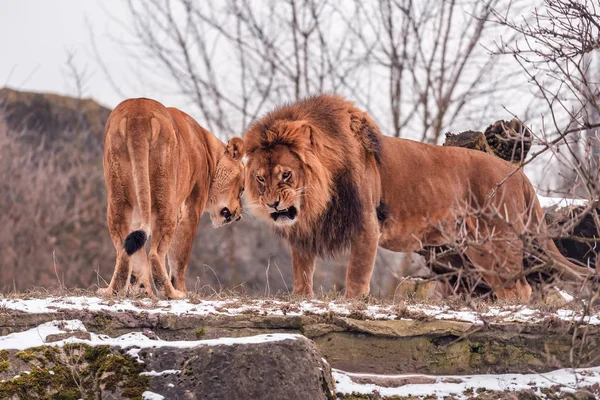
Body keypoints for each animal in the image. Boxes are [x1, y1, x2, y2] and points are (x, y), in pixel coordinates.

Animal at [99, 98, 245, 300]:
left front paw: (140, 289)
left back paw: (116, 291)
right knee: (155, 255)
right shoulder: (191, 208)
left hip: (119, 200)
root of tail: (137, 116)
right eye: (242, 188)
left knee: (124, 251)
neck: (209, 150)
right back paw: (173, 294)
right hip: (165, 200)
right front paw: (182, 289)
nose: (239, 215)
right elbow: (180, 257)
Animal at [244, 94, 592, 300]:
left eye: (286, 175)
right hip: (478, 248)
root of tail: (515, 171)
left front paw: (352, 304)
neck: (317, 198)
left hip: (498, 242)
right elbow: (302, 274)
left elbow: (356, 275)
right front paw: (301, 301)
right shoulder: (305, 233)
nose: (273, 204)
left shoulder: (367, 224)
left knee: (520, 287)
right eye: (260, 178)